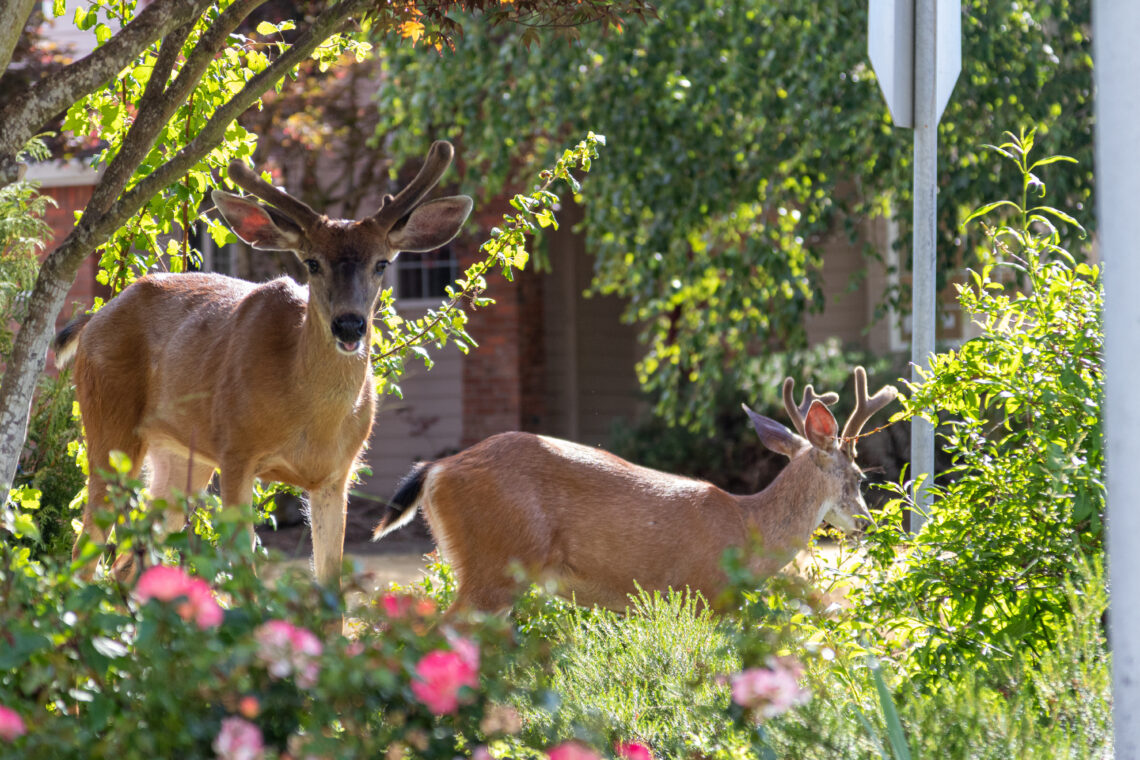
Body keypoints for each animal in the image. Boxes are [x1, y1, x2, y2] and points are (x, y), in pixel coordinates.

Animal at [53, 140, 472, 593]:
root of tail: (93, 318)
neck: (311, 418)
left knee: (127, 561)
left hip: (181, 456)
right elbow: (244, 576)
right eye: (312, 263)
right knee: (83, 553)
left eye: (382, 263)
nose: (349, 324)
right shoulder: (237, 452)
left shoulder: (337, 475)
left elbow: (331, 584)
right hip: (109, 427)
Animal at [372, 367, 896, 612]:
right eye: (860, 477)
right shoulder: (702, 594)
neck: (748, 529)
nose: (866, 523)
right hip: (496, 561)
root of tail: (438, 468)